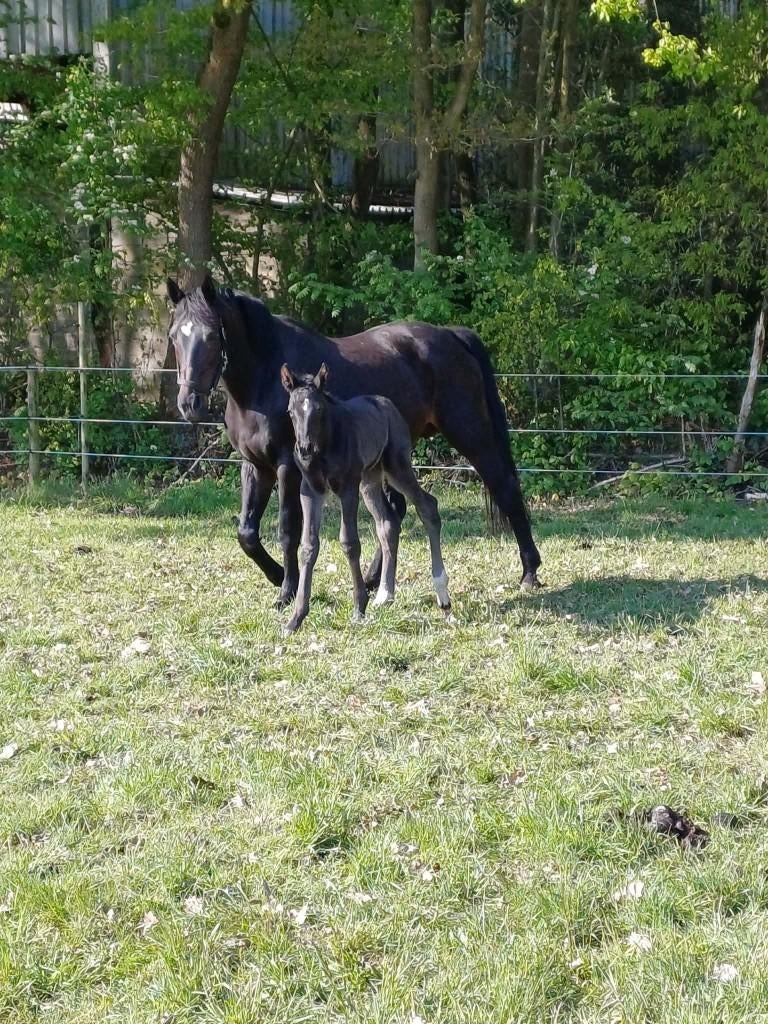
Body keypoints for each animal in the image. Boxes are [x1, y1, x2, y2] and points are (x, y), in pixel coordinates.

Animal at [166, 274, 541, 605]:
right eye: (173, 336)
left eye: (211, 336)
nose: (189, 403)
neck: (264, 377)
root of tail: (452, 335)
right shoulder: (256, 465)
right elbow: (246, 533)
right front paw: (277, 577)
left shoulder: (289, 466)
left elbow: (288, 529)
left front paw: (287, 591)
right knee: (395, 512)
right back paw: (376, 581)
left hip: (469, 431)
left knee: (505, 486)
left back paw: (529, 572)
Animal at [280, 362, 451, 634]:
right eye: (290, 411)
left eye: (319, 409)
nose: (304, 449)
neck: (324, 446)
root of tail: (388, 405)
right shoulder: (311, 490)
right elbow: (308, 546)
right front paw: (295, 619)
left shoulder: (348, 487)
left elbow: (349, 542)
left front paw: (359, 607)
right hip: (370, 480)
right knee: (387, 522)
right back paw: (385, 594)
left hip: (397, 467)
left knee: (428, 506)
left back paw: (442, 594)